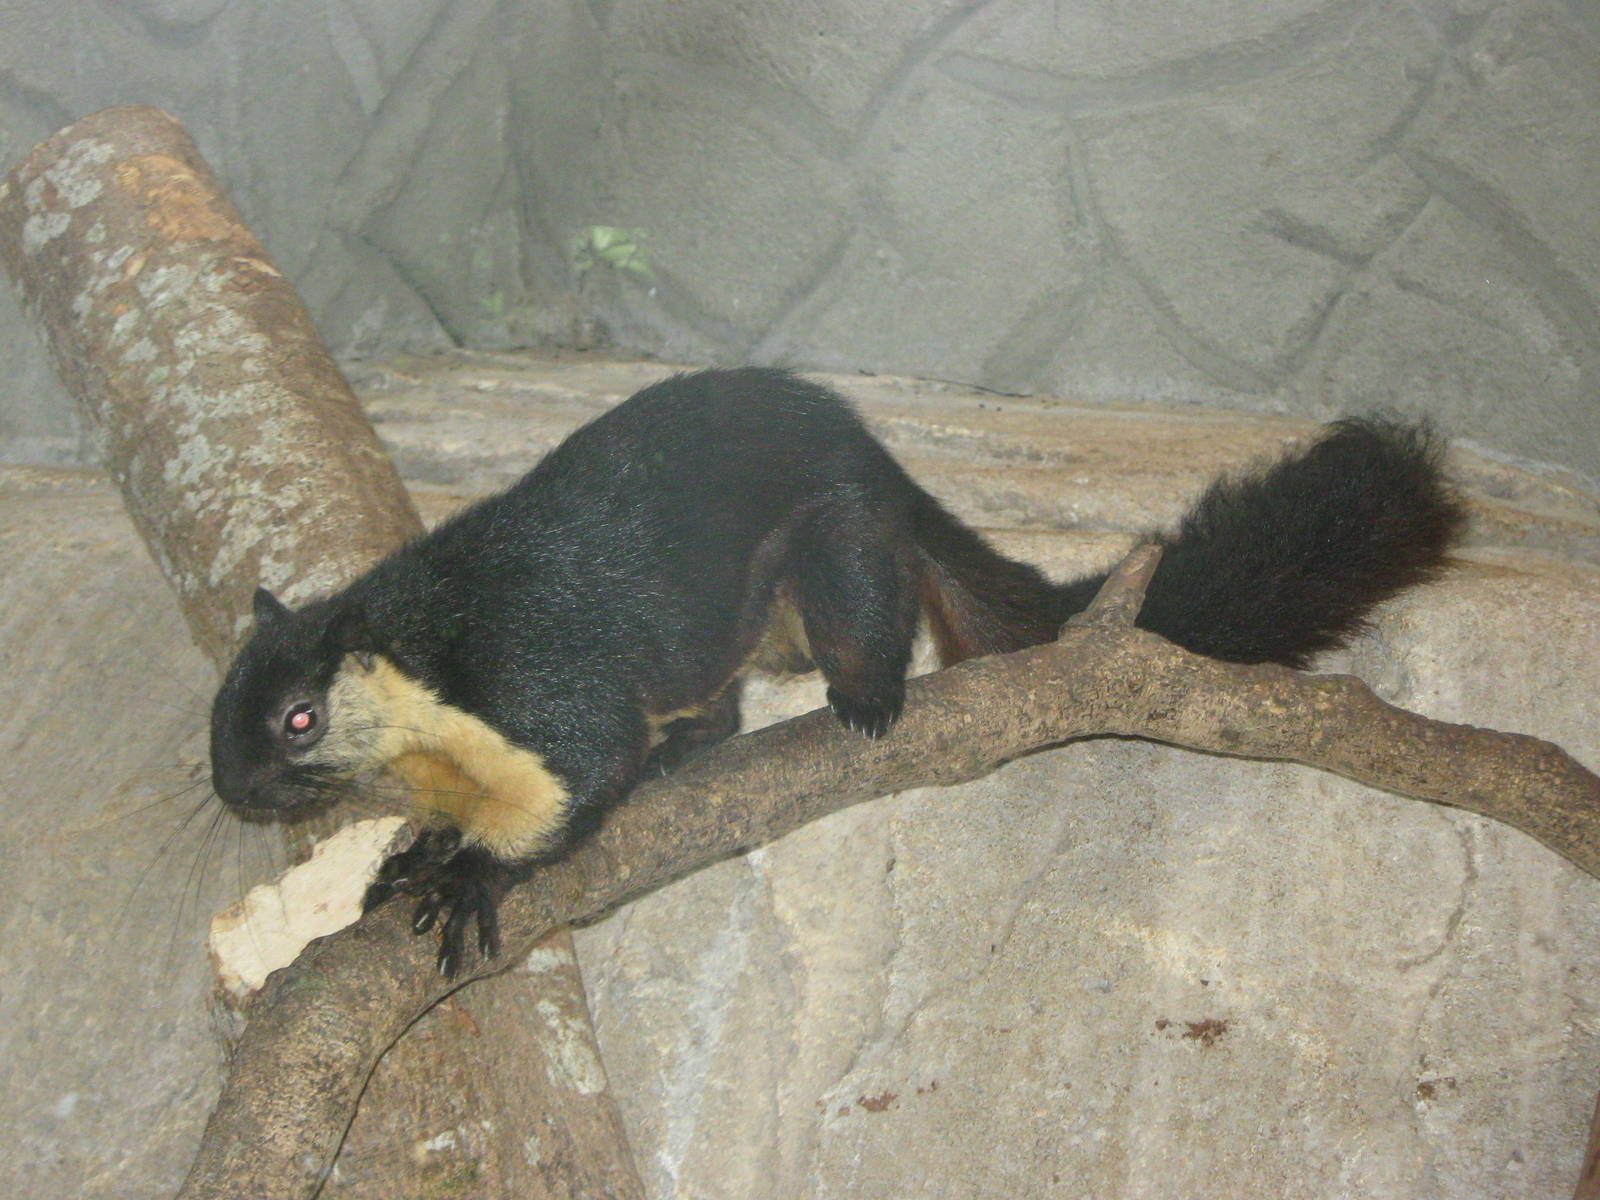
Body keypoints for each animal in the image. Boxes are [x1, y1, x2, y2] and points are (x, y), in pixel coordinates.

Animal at [209, 367, 1464, 975]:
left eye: (299, 718)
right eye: (218, 717)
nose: (232, 791)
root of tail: (879, 458)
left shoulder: (537, 688)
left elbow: (573, 780)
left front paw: (466, 881)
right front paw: (406, 863)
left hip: (834, 544)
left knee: (863, 625)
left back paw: (861, 702)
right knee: (714, 711)